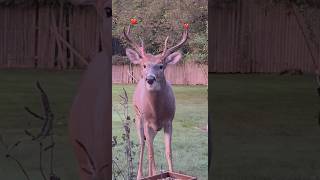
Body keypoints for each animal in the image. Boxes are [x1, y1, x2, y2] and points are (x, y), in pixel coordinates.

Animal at [122, 24, 188, 179]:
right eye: (144, 65)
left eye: (161, 66)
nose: (150, 79)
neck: (156, 112)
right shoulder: (146, 121)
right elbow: (151, 153)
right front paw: (154, 175)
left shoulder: (169, 121)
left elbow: (168, 152)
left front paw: (171, 173)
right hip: (138, 119)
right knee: (143, 146)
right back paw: (141, 175)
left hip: (154, 128)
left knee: (149, 145)